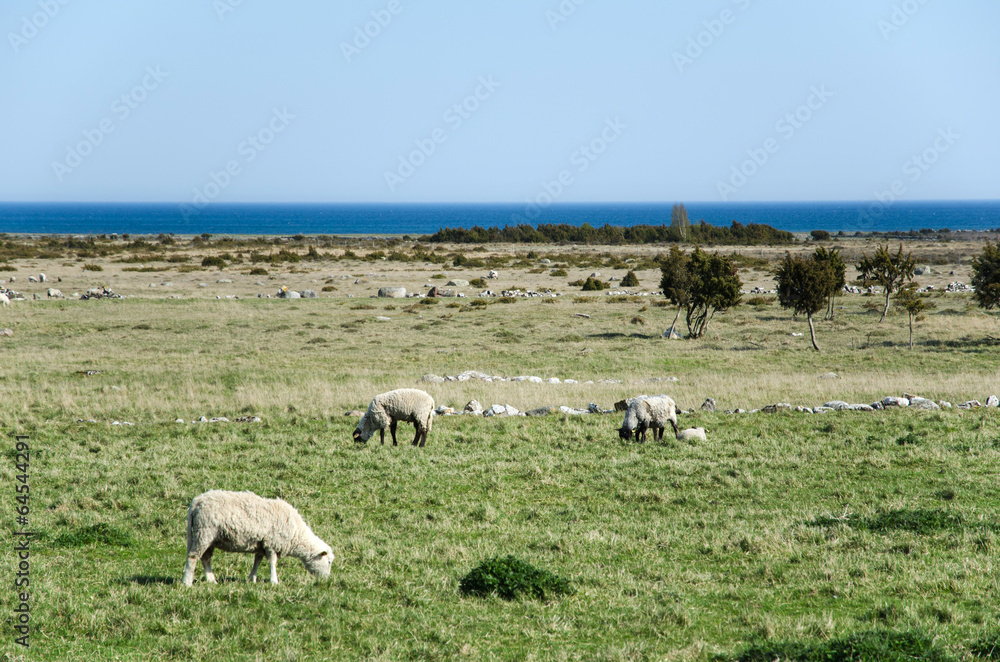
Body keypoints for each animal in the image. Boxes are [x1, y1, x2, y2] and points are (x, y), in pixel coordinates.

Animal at [181, 490, 333, 586]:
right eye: (329, 562)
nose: (325, 581)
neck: (296, 535)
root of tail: (196, 501)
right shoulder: (272, 543)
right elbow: (273, 562)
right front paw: (274, 581)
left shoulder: (261, 545)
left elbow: (257, 562)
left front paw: (251, 579)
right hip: (204, 532)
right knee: (193, 556)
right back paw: (187, 582)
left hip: (210, 537)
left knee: (206, 558)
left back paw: (211, 580)